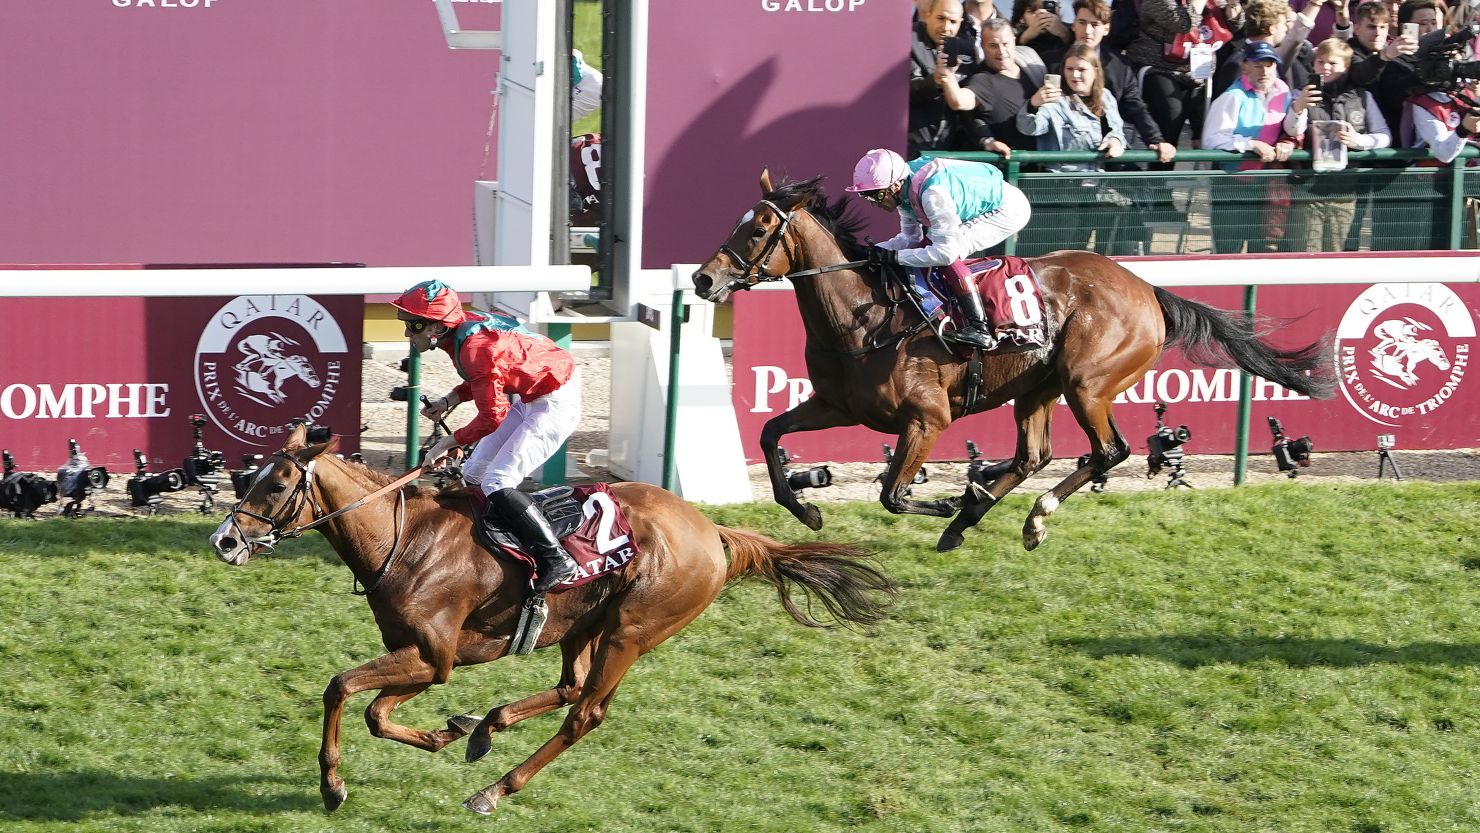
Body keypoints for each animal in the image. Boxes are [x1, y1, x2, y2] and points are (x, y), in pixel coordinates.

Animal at [207, 426, 888, 816]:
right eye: (250, 478)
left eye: (278, 485)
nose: (224, 541)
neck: (404, 540)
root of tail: (712, 530)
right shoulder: (426, 658)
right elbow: (376, 712)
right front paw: (446, 733)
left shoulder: (433, 657)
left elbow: (341, 687)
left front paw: (332, 786)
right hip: (582, 625)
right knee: (568, 687)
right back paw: (486, 726)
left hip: (632, 631)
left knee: (586, 711)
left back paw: (494, 788)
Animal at [686, 170, 1337, 553]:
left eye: (760, 228)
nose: (702, 279)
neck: (862, 317)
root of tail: (1148, 289)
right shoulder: (836, 405)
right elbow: (771, 436)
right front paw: (808, 511)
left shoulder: (927, 420)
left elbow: (893, 494)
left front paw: (946, 500)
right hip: (1037, 388)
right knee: (1033, 455)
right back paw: (970, 519)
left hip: (1086, 381)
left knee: (1108, 451)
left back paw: (1023, 516)